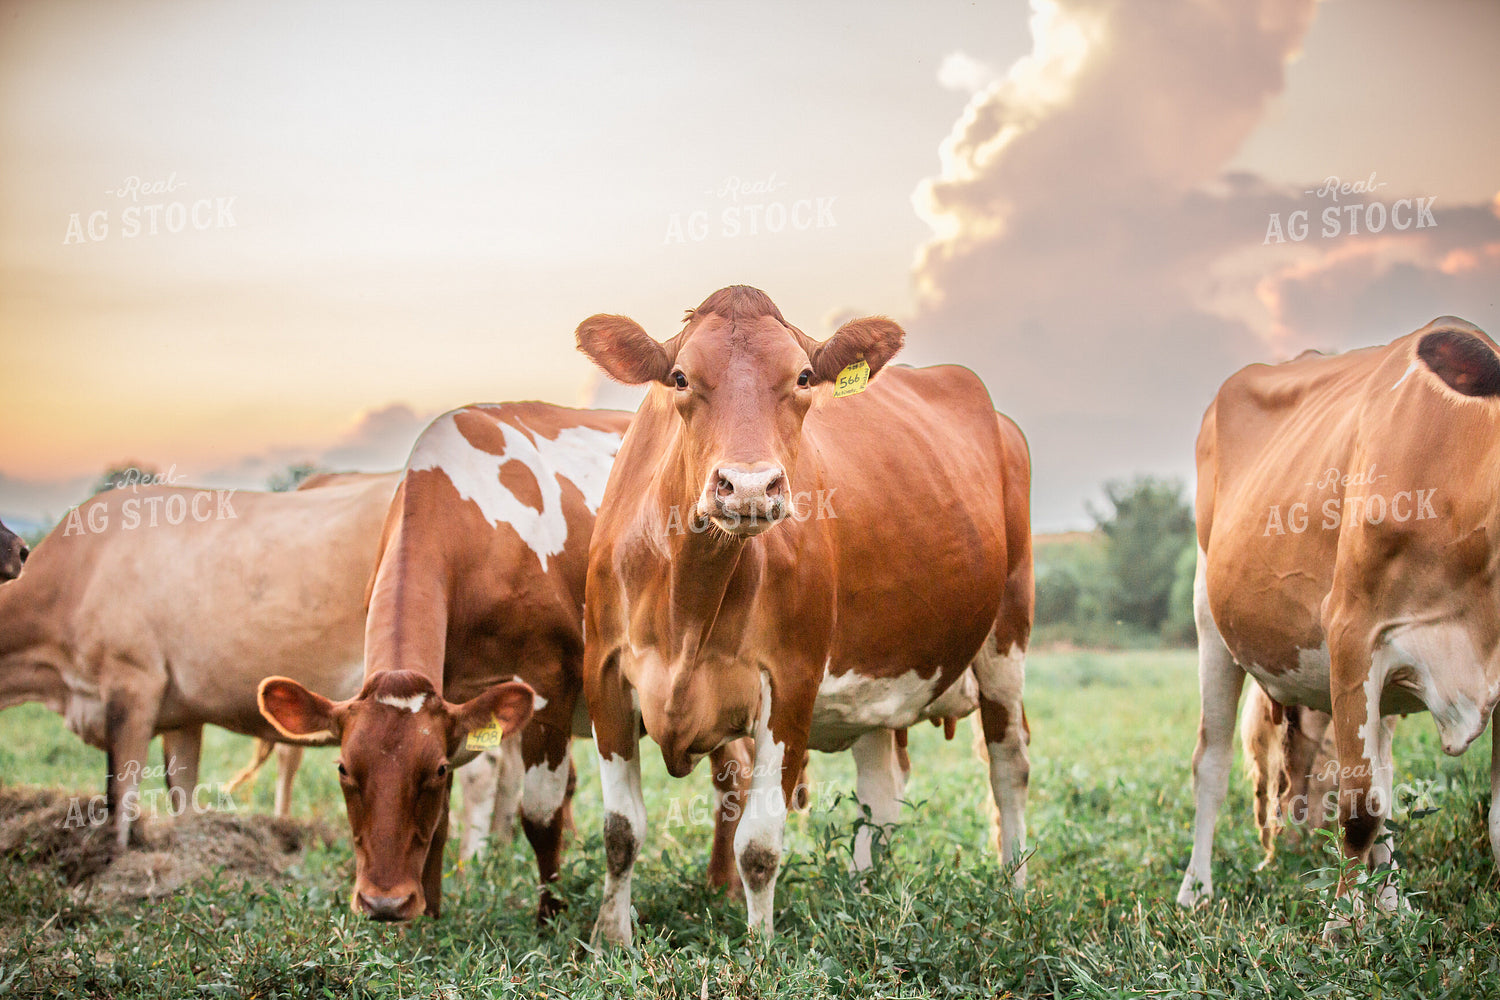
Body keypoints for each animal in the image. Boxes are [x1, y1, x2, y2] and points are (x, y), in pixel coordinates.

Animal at [259, 402, 759, 923]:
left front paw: (549, 914)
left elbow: (540, 814)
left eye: (435, 769)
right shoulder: (452, 703)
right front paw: (430, 915)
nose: (385, 902)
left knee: (733, 773)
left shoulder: (549, 686)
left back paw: (723, 888)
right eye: (343, 769)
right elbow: (441, 820)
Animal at [574, 284, 1032, 944]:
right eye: (681, 377)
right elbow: (621, 832)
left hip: (1007, 635)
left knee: (1008, 766)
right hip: (880, 673)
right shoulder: (604, 674)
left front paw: (759, 950)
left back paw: (1016, 892)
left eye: (804, 377)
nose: (748, 487)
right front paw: (610, 941)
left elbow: (759, 844)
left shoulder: (789, 682)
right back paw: (866, 897)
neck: (688, 597)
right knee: (879, 790)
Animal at [1178, 316, 1500, 927]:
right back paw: (1195, 892)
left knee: (1385, 773)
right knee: (1211, 761)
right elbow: (1359, 810)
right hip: (1211, 618)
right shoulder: (1354, 635)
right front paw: (1340, 928)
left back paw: (1393, 900)